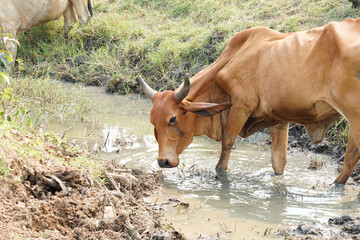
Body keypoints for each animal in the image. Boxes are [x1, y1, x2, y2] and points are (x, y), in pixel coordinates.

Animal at [137, 18, 360, 184]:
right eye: (152, 122)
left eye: (172, 119)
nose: (163, 162)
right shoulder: (279, 119)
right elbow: (278, 161)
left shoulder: (241, 106)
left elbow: (227, 144)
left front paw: (221, 174)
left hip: (354, 115)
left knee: (351, 154)